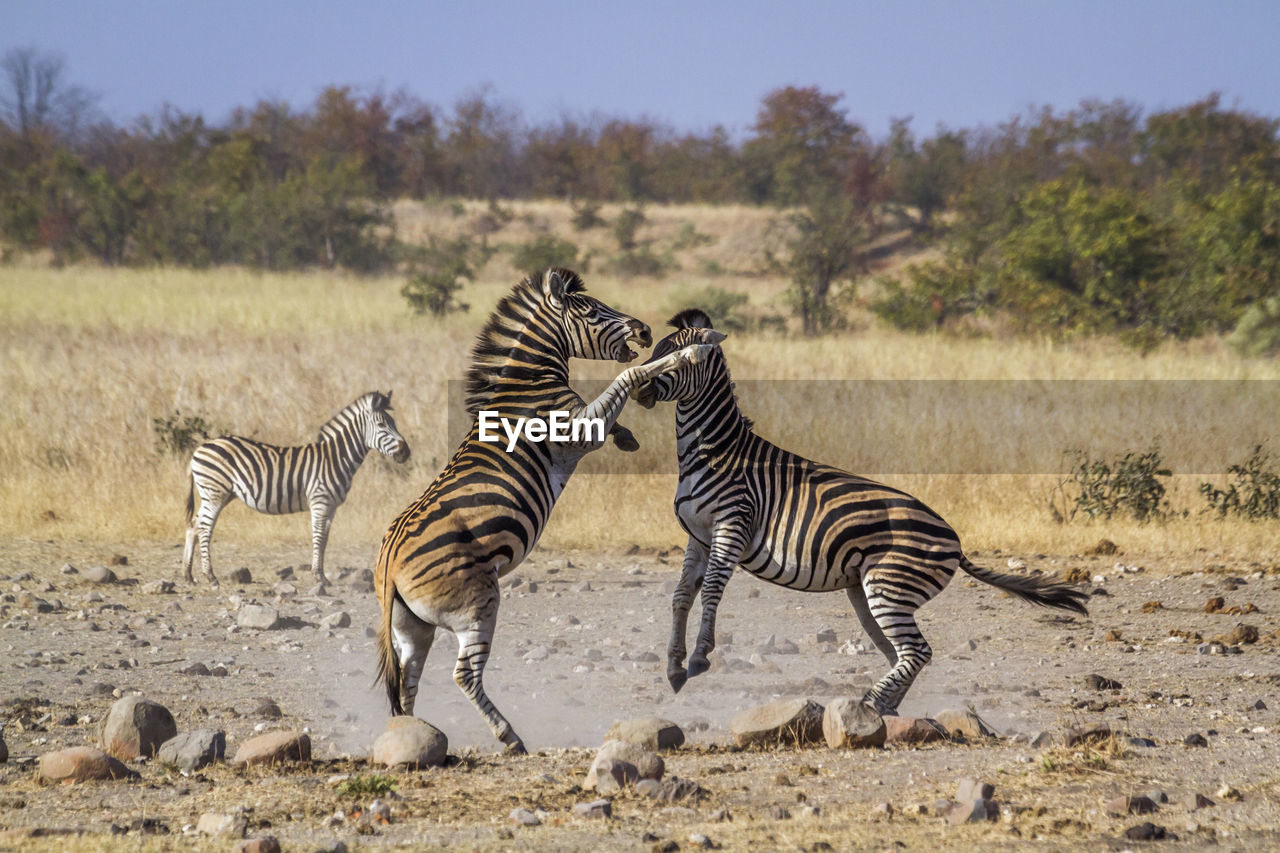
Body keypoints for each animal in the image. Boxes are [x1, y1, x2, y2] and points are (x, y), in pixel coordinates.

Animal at [180, 389, 407, 589]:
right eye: (381, 424)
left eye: (394, 423)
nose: (406, 452)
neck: (336, 458)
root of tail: (200, 447)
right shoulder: (320, 501)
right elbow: (318, 537)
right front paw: (318, 577)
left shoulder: (332, 507)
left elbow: (325, 539)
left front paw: (323, 576)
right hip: (215, 493)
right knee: (205, 528)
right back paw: (210, 577)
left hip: (219, 494)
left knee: (193, 526)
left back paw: (189, 576)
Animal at [373, 267, 716, 753]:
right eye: (592, 311)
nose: (646, 331)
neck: (531, 387)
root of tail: (387, 562)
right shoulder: (578, 429)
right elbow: (628, 375)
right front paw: (691, 350)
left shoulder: (584, 421)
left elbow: (616, 397)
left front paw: (628, 437)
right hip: (477, 604)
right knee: (463, 674)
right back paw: (509, 736)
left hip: (412, 627)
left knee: (407, 683)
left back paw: (414, 736)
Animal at [634, 308, 1085, 712]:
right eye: (656, 350)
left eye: (680, 357)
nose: (639, 388)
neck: (714, 452)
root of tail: (956, 542)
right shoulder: (698, 535)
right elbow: (681, 595)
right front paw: (674, 666)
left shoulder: (732, 523)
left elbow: (711, 589)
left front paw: (698, 658)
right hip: (871, 592)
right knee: (905, 654)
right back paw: (883, 709)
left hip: (890, 587)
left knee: (918, 651)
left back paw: (870, 704)